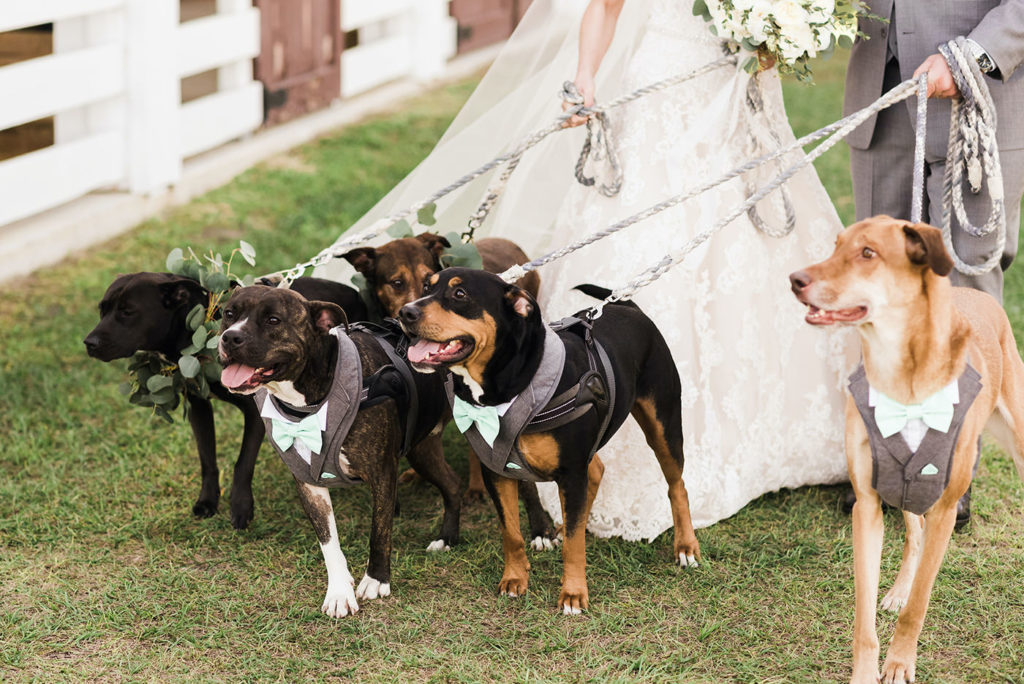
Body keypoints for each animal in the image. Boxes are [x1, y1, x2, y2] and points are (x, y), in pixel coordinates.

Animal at [83, 272, 366, 528]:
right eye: (102, 310)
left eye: (127, 312)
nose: (89, 343)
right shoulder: (198, 406)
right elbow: (207, 458)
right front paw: (208, 500)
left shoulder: (255, 414)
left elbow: (243, 463)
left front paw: (240, 507)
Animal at [217, 286, 460, 618]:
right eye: (229, 314)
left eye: (273, 320)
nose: (230, 337)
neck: (311, 399)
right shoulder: (309, 483)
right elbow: (328, 541)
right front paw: (339, 591)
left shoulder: (382, 474)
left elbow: (379, 531)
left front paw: (377, 580)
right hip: (423, 450)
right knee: (451, 482)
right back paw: (447, 537)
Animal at [395, 270, 700, 618]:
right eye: (427, 286)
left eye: (460, 294)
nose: (405, 313)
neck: (511, 385)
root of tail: (628, 306)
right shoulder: (497, 472)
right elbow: (511, 533)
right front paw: (514, 579)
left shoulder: (571, 471)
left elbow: (573, 544)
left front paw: (573, 594)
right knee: (597, 471)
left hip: (663, 423)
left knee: (677, 485)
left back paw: (686, 546)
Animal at [790, 215, 1024, 684]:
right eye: (835, 245)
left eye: (868, 253)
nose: (795, 280)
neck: (904, 378)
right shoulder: (868, 504)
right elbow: (864, 616)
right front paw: (866, 670)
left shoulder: (946, 509)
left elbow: (919, 605)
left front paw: (899, 662)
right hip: (905, 482)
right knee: (913, 535)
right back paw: (898, 588)